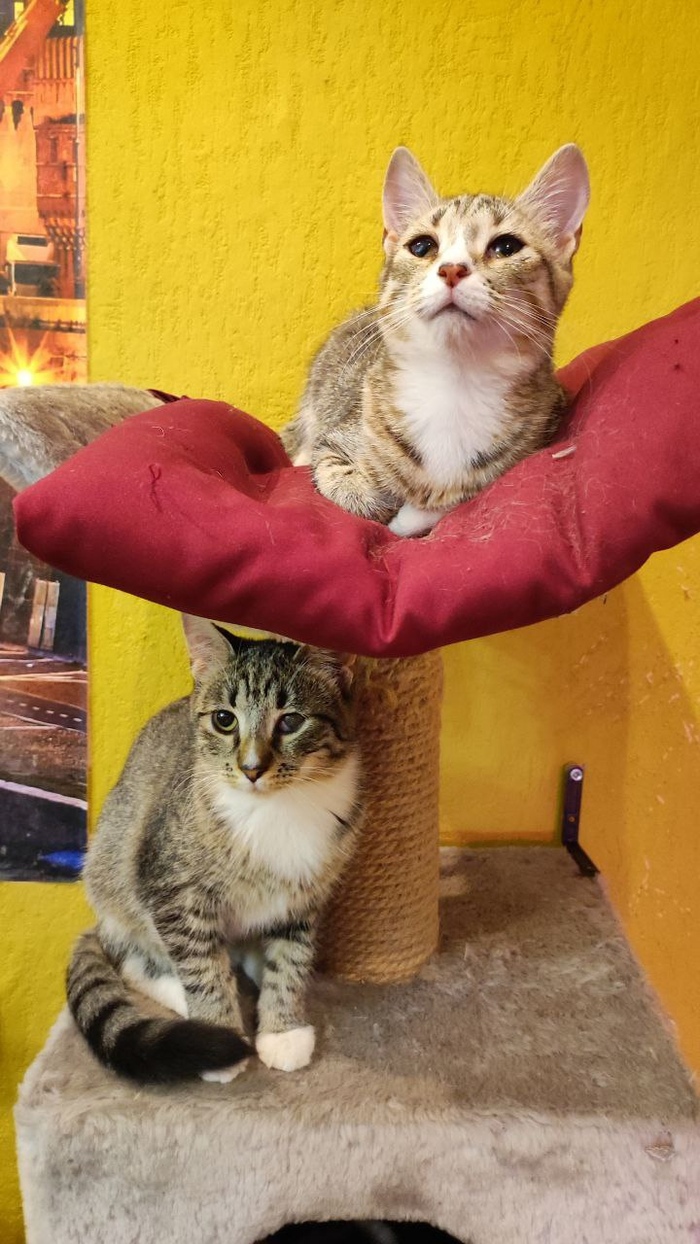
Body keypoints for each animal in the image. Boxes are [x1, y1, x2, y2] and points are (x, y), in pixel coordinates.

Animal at [67, 614, 361, 1084]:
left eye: (291, 722)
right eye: (225, 719)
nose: (252, 768)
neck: (274, 807)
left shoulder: (307, 892)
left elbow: (291, 959)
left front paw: (283, 1030)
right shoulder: (171, 887)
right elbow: (200, 964)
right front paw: (222, 1034)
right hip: (114, 871)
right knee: (133, 957)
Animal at [282, 143, 590, 536]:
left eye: (506, 246)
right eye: (422, 246)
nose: (452, 269)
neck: (453, 384)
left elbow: (444, 505)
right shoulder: (337, 441)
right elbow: (345, 481)